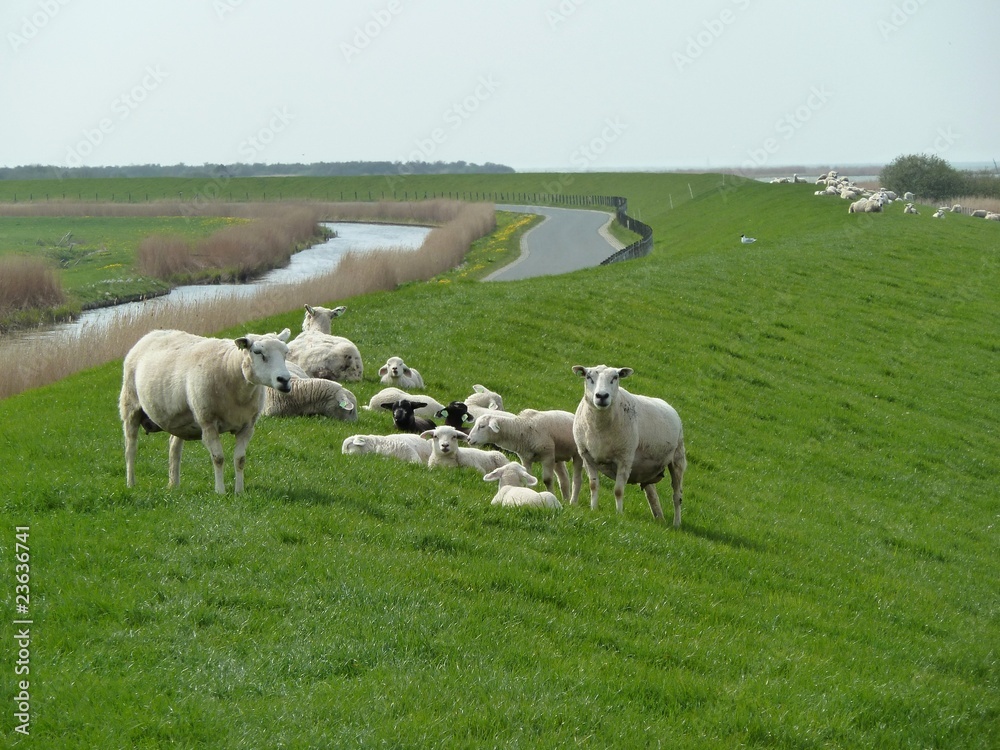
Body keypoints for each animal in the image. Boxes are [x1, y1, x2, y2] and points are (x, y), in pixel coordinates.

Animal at [120, 328, 292, 494]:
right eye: (257, 352)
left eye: (286, 352)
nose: (284, 380)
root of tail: (151, 333)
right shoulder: (208, 422)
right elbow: (218, 458)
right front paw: (220, 491)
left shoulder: (247, 426)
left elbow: (240, 459)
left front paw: (239, 491)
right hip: (130, 404)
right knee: (130, 448)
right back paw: (130, 484)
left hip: (179, 420)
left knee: (174, 448)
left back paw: (173, 484)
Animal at [571, 365, 686, 527]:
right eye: (588, 377)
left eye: (615, 377)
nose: (602, 396)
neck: (600, 428)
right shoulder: (587, 457)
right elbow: (593, 485)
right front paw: (593, 508)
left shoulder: (625, 458)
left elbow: (618, 490)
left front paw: (619, 514)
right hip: (647, 467)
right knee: (652, 495)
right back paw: (659, 519)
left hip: (678, 458)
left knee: (677, 495)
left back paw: (676, 524)